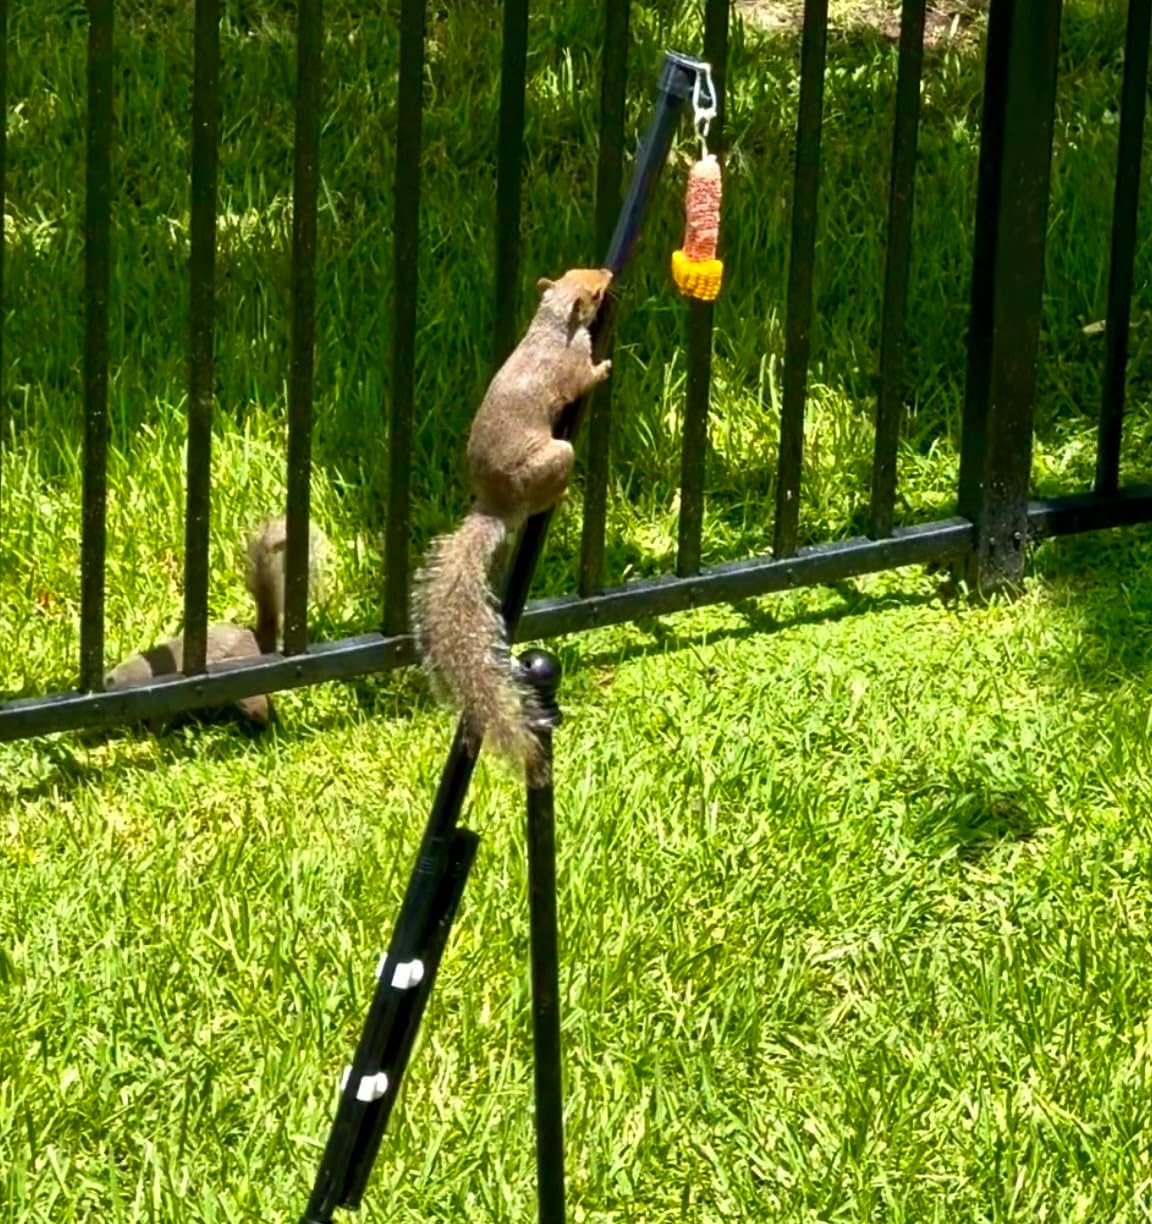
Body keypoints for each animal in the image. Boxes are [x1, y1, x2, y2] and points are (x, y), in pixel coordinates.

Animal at [412, 267, 614, 777]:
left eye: (583, 272)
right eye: (595, 291)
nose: (609, 274)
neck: (550, 326)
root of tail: (498, 506)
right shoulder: (570, 366)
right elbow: (583, 379)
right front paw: (605, 368)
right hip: (556, 458)